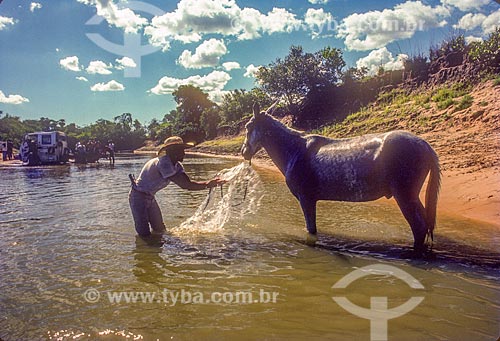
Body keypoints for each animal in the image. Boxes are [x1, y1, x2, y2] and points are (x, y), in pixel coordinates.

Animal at [242, 101, 442, 252]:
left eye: (248, 126)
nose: (244, 151)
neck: (294, 151)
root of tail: (424, 144)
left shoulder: (306, 198)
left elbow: (311, 230)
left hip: (405, 196)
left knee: (419, 227)